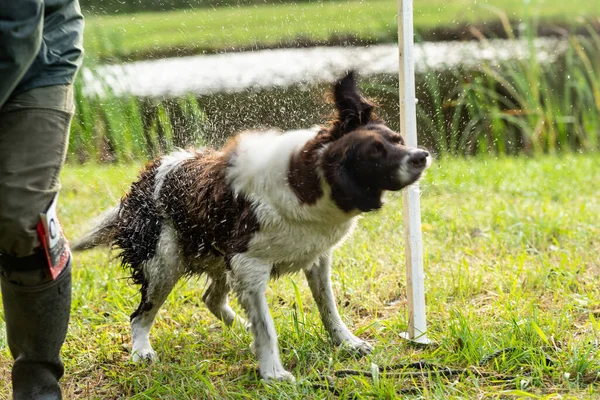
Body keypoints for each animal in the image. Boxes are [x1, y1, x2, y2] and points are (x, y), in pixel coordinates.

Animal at [74, 72, 432, 382]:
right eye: (375, 154)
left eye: (398, 139)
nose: (422, 155)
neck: (308, 182)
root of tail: (144, 180)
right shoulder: (249, 266)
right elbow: (266, 326)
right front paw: (273, 374)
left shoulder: (315, 259)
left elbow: (328, 307)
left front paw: (347, 342)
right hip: (164, 264)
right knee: (141, 315)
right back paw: (141, 351)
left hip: (216, 257)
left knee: (210, 298)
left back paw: (237, 323)